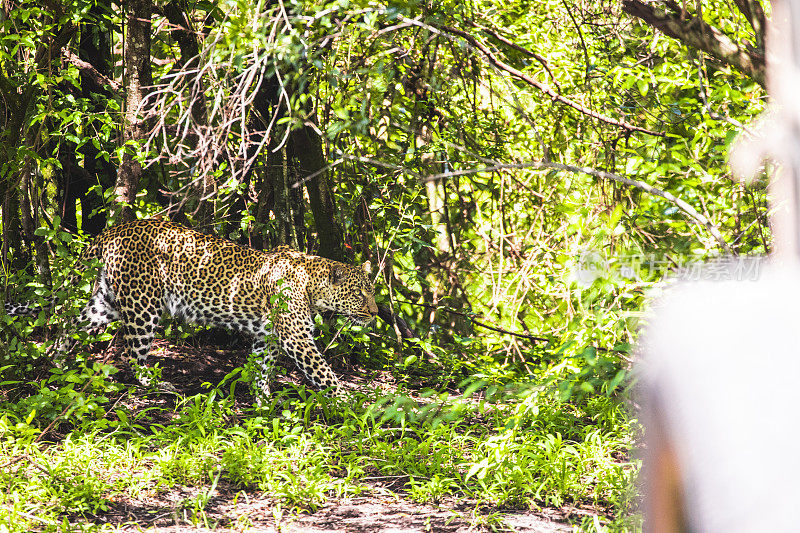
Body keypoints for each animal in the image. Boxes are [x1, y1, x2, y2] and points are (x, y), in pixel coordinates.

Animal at [3, 216, 378, 394]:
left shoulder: (268, 336)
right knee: (131, 353)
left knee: (70, 322)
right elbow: (324, 374)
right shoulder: (297, 338)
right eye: (360, 294)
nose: (375, 313)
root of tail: (113, 231)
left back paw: (55, 361)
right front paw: (353, 404)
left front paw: (263, 403)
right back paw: (156, 384)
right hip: (144, 306)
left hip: (107, 302)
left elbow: (261, 369)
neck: (312, 284)